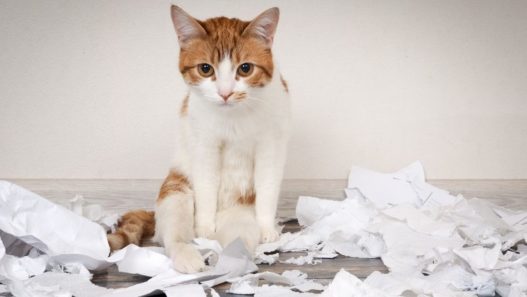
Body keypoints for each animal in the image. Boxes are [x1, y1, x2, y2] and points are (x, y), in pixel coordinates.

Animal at [105, 5, 290, 272]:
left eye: (245, 68)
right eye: (205, 69)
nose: (225, 93)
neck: (234, 116)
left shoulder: (271, 146)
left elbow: (267, 189)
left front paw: (268, 229)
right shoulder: (204, 147)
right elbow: (206, 188)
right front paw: (204, 227)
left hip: (240, 220)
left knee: (236, 239)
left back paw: (226, 258)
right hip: (176, 194)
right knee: (174, 237)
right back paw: (192, 256)